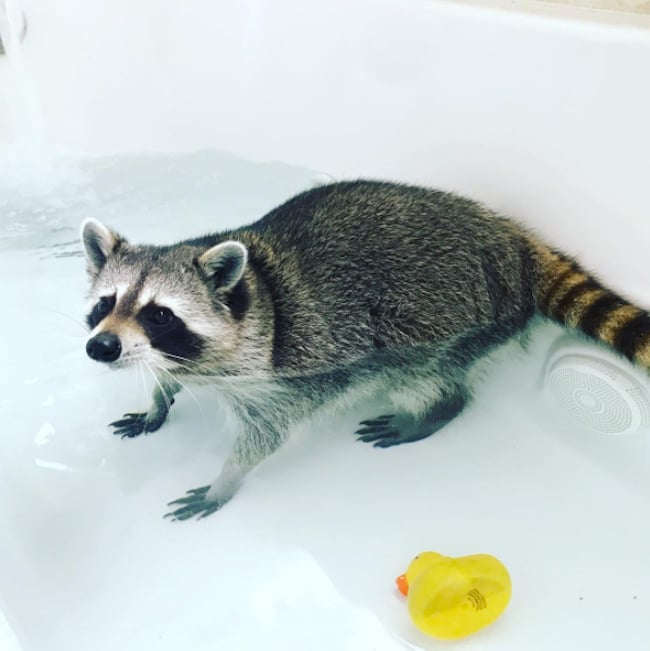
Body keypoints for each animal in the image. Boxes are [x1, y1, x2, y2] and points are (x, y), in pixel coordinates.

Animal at [81, 180, 650, 520]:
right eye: (105, 303)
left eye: (159, 314)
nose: (101, 348)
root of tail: (509, 240)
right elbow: (166, 376)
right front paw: (158, 401)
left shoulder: (285, 376)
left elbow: (267, 435)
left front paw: (226, 480)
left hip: (453, 324)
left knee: (424, 376)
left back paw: (432, 411)